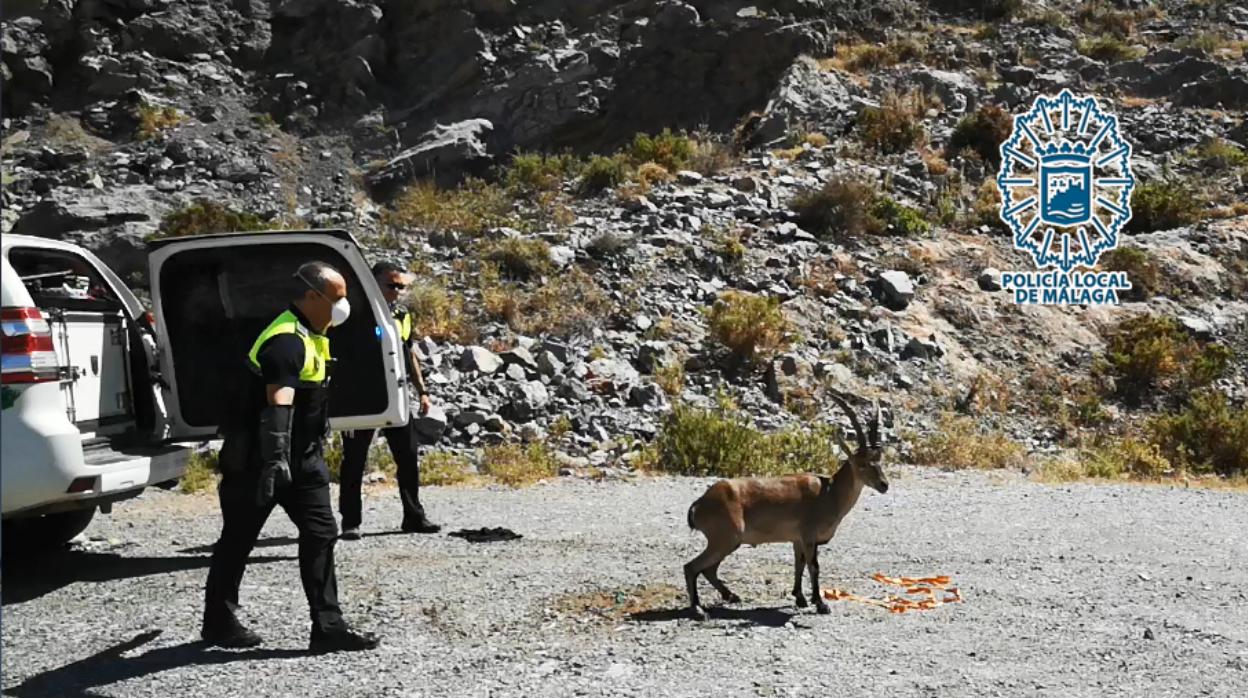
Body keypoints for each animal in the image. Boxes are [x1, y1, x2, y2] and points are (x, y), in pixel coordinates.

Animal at [683, 394, 888, 621]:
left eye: (879, 461)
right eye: (861, 464)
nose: (884, 485)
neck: (829, 493)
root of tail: (700, 504)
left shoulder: (798, 539)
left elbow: (799, 564)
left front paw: (800, 598)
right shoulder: (808, 536)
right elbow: (814, 566)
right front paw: (821, 604)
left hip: (726, 542)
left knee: (708, 569)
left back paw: (731, 596)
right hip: (726, 539)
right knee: (691, 567)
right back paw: (698, 609)